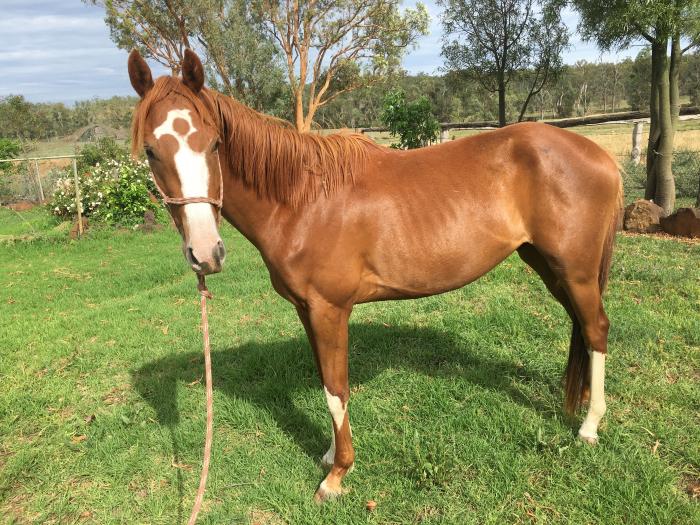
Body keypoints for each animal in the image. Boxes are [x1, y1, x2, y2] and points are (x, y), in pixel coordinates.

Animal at [128, 48, 622, 502]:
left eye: (213, 144)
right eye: (152, 151)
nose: (206, 253)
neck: (301, 199)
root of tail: (599, 154)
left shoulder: (330, 310)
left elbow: (336, 389)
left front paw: (336, 475)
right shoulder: (309, 312)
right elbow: (327, 384)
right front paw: (330, 454)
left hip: (575, 271)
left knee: (597, 329)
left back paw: (590, 426)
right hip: (548, 267)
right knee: (582, 328)